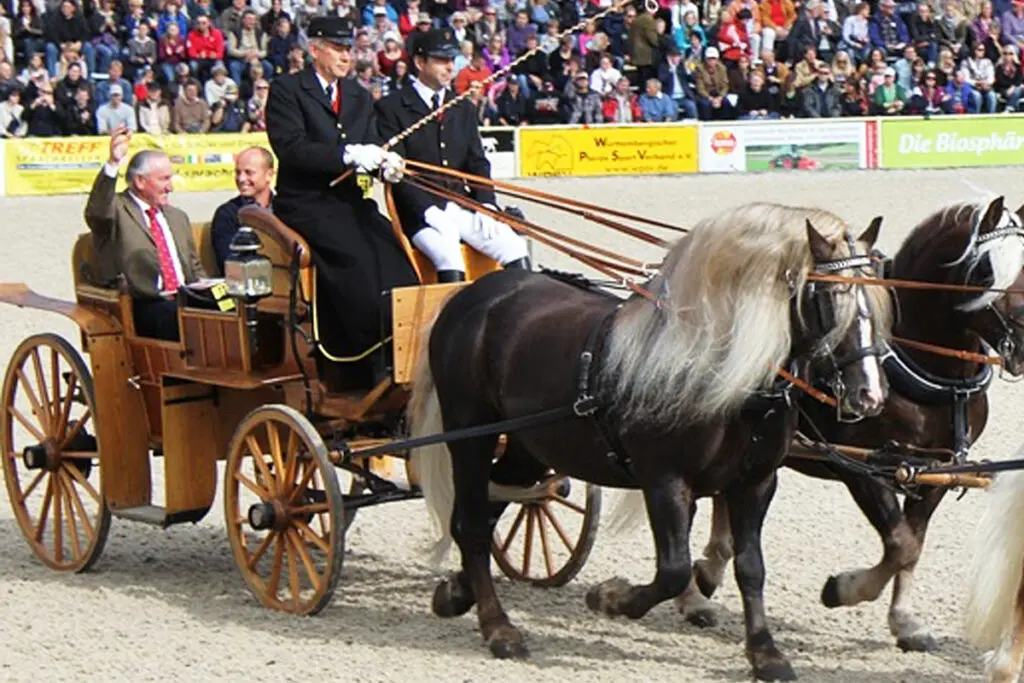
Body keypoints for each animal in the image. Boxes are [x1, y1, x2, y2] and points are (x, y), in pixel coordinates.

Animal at [408, 202, 893, 682]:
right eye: (831, 297)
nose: (871, 394)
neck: (721, 375)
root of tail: (475, 296)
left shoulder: (755, 482)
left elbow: (751, 568)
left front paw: (765, 653)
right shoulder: (665, 481)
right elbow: (674, 571)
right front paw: (610, 598)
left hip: (529, 447)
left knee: (491, 508)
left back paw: (458, 592)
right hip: (471, 435)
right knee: (472, 523)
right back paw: (497, 627)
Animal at [685, 195, 1024, 653]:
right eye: (988, 269)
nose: (1023, 339)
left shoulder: (937, 469)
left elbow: (913, 543)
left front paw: (905, 621)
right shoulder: (862, 466)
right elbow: (899, 544)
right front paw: (843, 589)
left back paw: (710, 568)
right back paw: (692, 594)